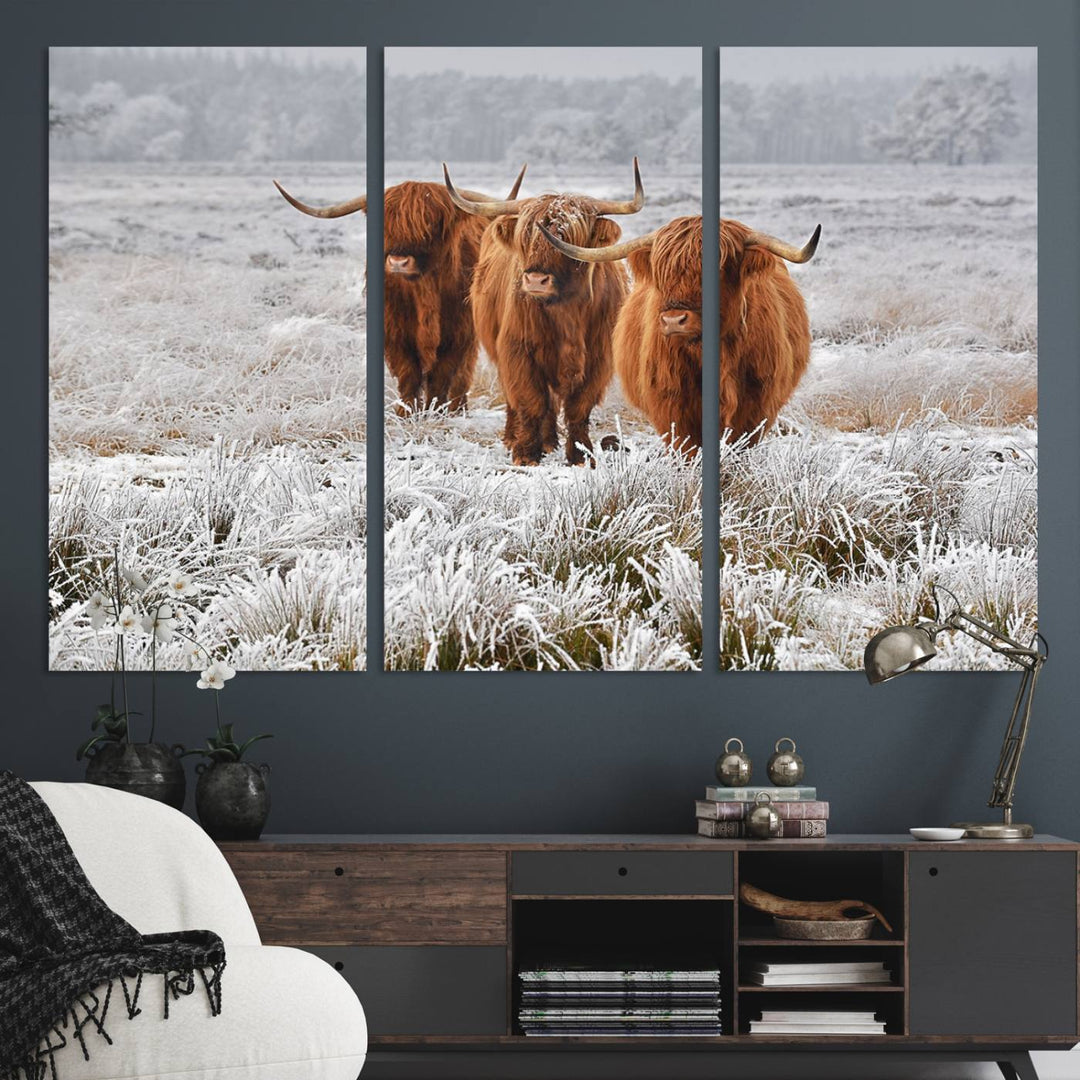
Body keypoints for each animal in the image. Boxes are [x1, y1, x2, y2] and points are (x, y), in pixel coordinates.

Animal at [442, 158, 643, 464]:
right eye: (525, 238)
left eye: (568, 238)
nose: (536, 280)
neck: (567, 313)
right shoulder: (518, 351)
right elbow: (531, 401)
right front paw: (525, 454)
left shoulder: (599, 358)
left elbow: (578, 407)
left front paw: (581, 454)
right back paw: (517, 439)